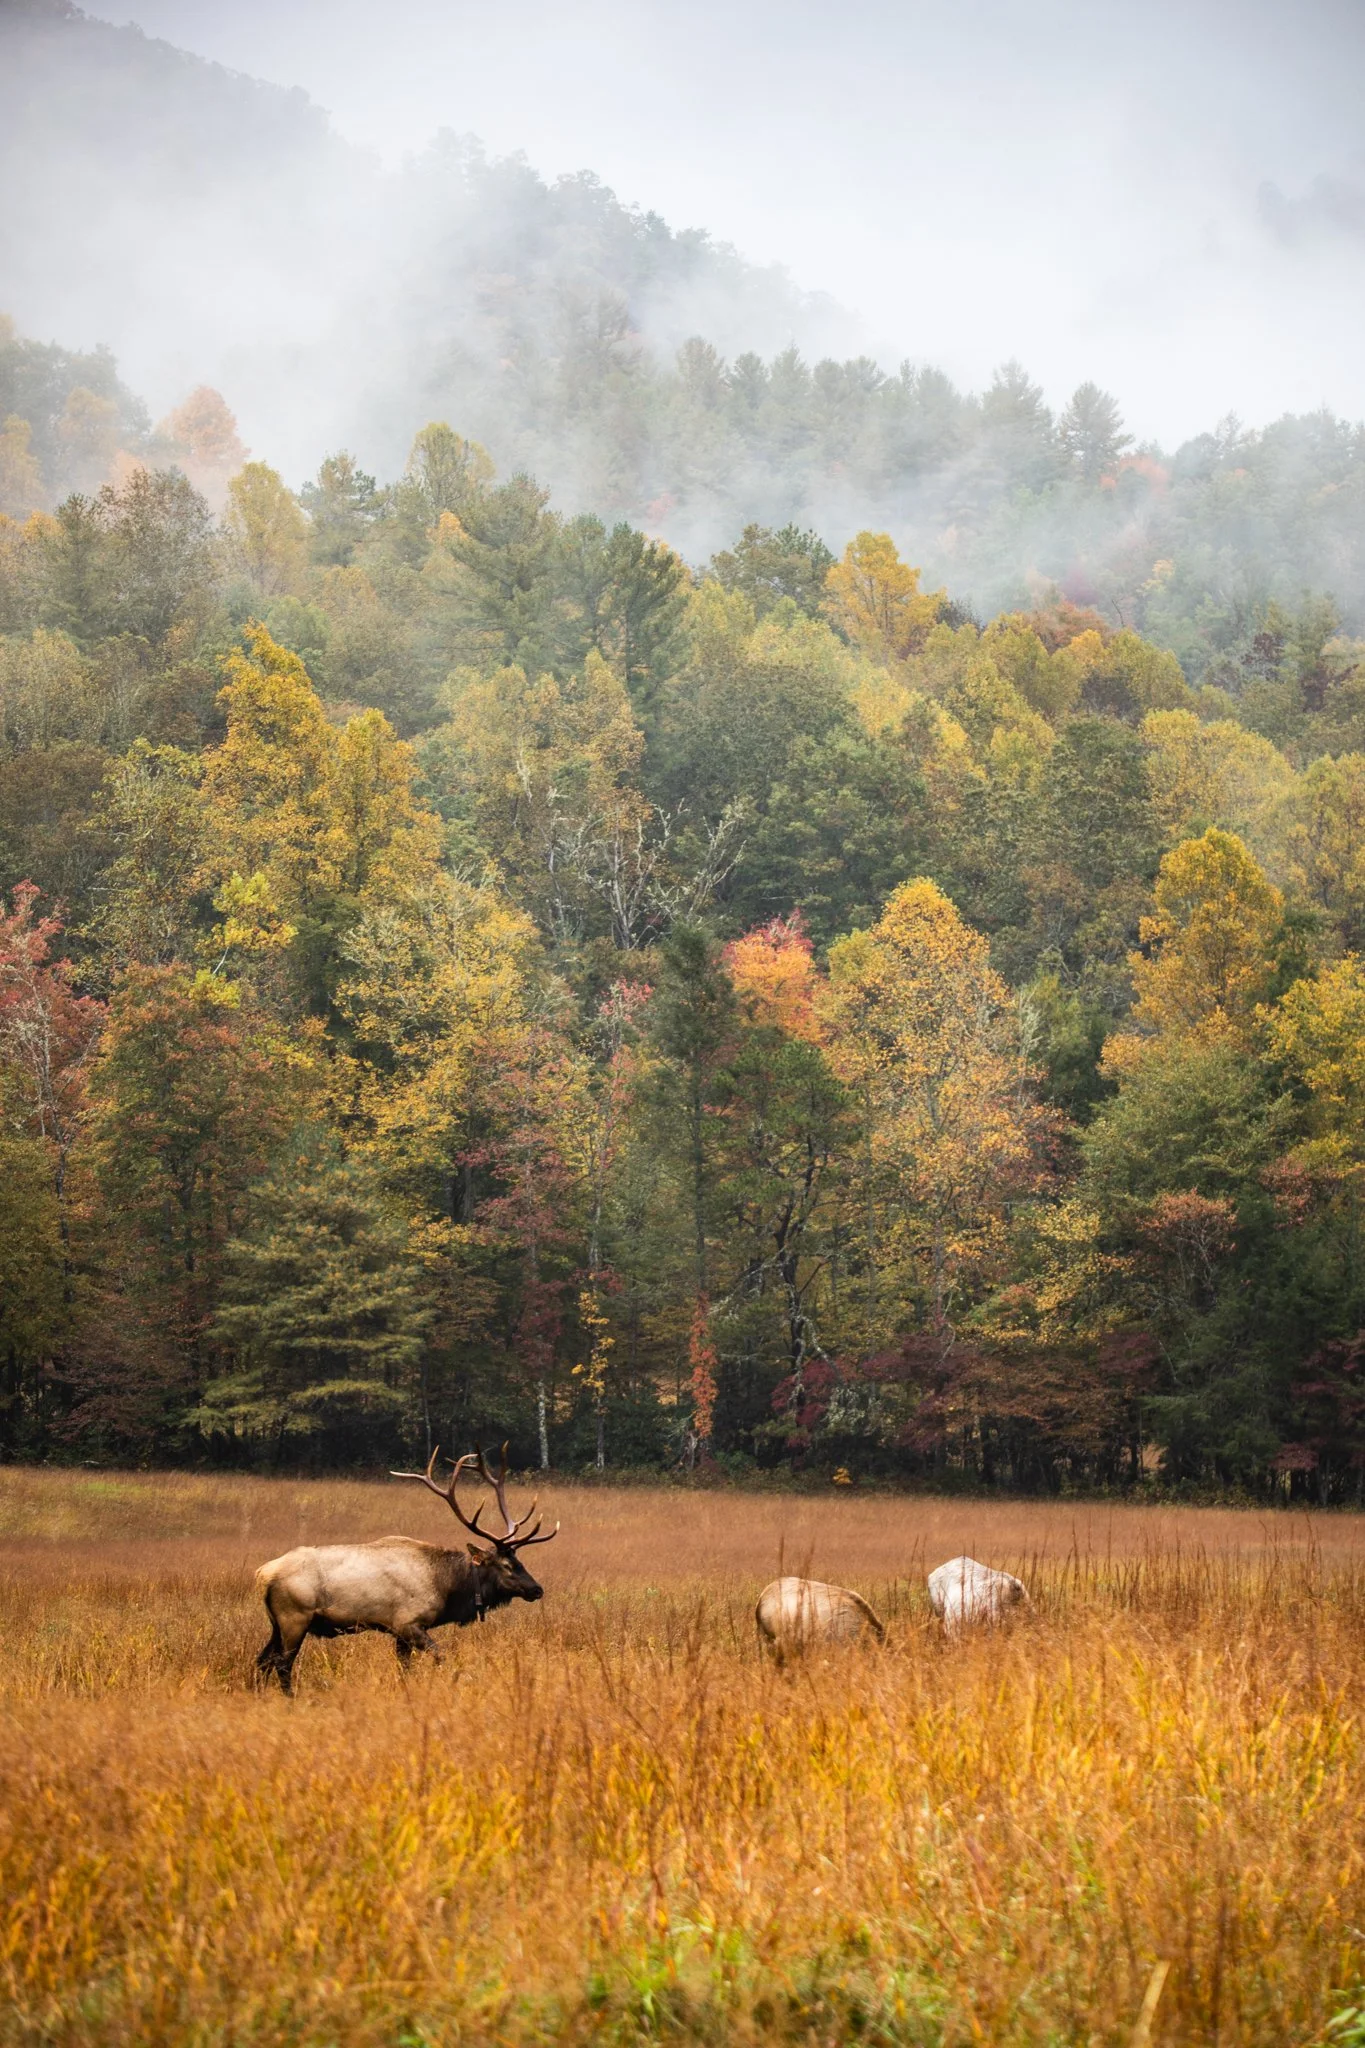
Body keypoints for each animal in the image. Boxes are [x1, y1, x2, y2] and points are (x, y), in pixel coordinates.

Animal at [254, 1445, 558, 1694]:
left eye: (521, 1561)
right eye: (507, 1565)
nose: (537, 1589)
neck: (447, 1587)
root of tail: (263, 1575)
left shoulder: (399, 1632)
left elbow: (404, 1669)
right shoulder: (408, 1623)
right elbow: (439, 1657)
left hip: (277, 1623)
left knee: (262, 1661)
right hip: (295, 1617)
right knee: (282, 1663)